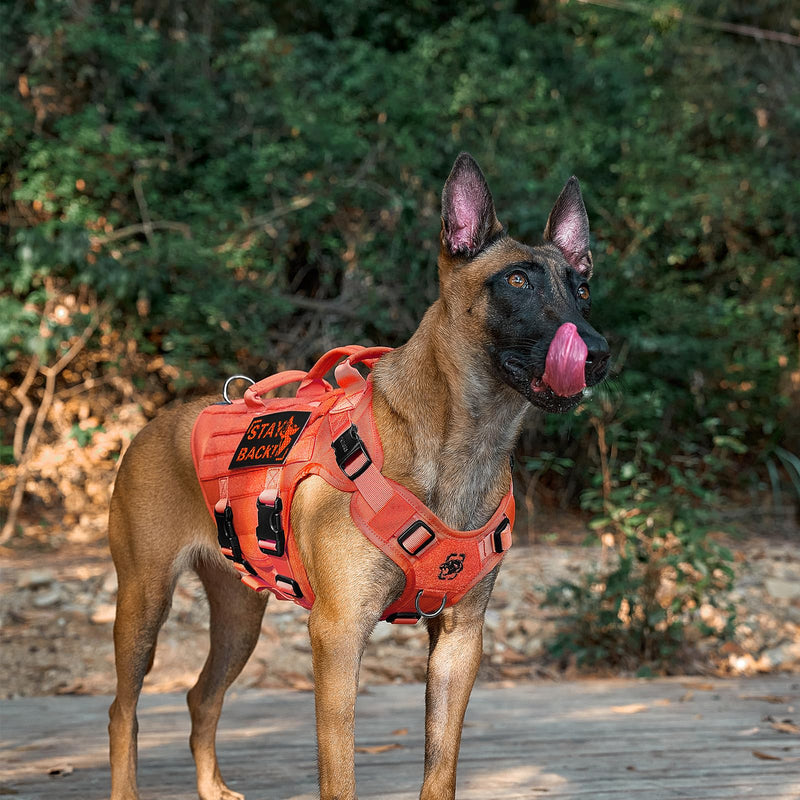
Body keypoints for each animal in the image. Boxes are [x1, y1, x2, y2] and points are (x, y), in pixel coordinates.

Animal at [104, 152, 608, 800]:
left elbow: (439, 771)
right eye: (517, 281)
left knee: (200, 697)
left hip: (239, 617)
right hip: (143, 602)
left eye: (582, 289)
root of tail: (154, 424)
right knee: (123, 709)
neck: (465, 441)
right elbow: (339, 774)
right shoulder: (339, 636)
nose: (598, 352)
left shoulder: (459, 643)